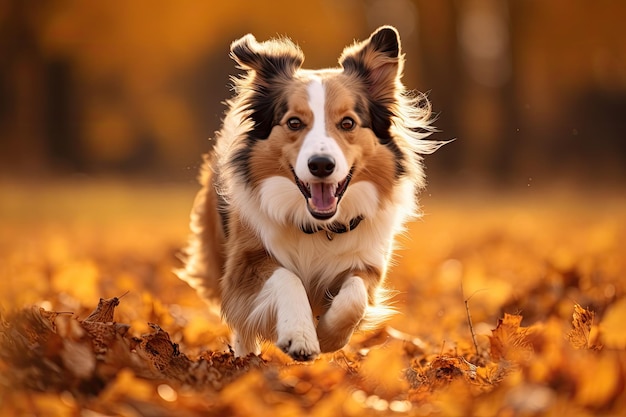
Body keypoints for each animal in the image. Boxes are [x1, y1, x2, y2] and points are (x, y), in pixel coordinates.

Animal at [177, 26, 438, 360]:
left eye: (348, 123)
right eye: (294, 122)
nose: (321, 165)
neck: (319, 226)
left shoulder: (367, 263)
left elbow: (354, 298)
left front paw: (327, 335)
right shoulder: (243, 263)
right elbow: (287, 278)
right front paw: (300, 335)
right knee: (242, 324)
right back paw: (245, 358)